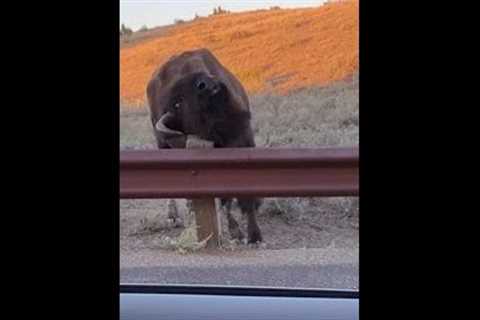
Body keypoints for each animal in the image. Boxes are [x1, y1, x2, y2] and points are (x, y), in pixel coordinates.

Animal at [147, 48, 262, 242]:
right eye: (177, 103)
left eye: (206, 76)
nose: (205, 84)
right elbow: (225, 197)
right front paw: (237, 232)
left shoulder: (244, 139)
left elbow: (243, 193)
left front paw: (254, 235)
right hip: (162, 145)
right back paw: (174, 217)